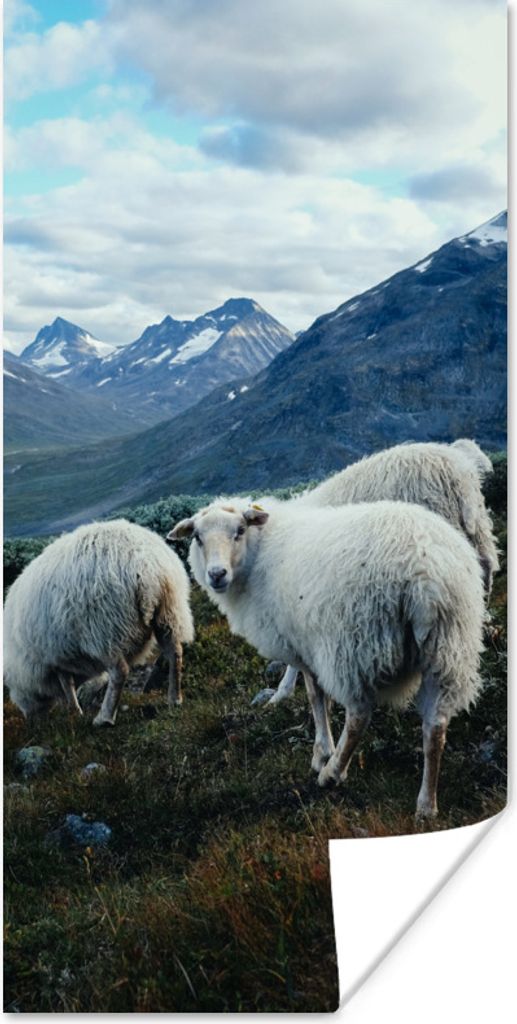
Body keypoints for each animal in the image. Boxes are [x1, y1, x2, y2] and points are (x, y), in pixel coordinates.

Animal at [4, 519, 194, 726]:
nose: (30, 720)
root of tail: (146, 565)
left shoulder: (53, 657)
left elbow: (67, 685)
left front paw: (74, 710)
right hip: (169, 611)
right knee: (175, 652)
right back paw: (174, 699)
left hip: (105, 630)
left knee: (120, 671)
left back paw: (104, 718)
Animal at [169, 498, 485, 818]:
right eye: (198, 537)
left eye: (240, 530)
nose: (216, 574)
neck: (260, 553)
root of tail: (424, 571)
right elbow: (322, 698)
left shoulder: (304, 646)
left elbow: (315, 697)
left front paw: (322, 752)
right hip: (447, 647)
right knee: (435, 726)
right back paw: (426, 805)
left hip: (355, 644)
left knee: (359, 715)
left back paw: (333, 773)